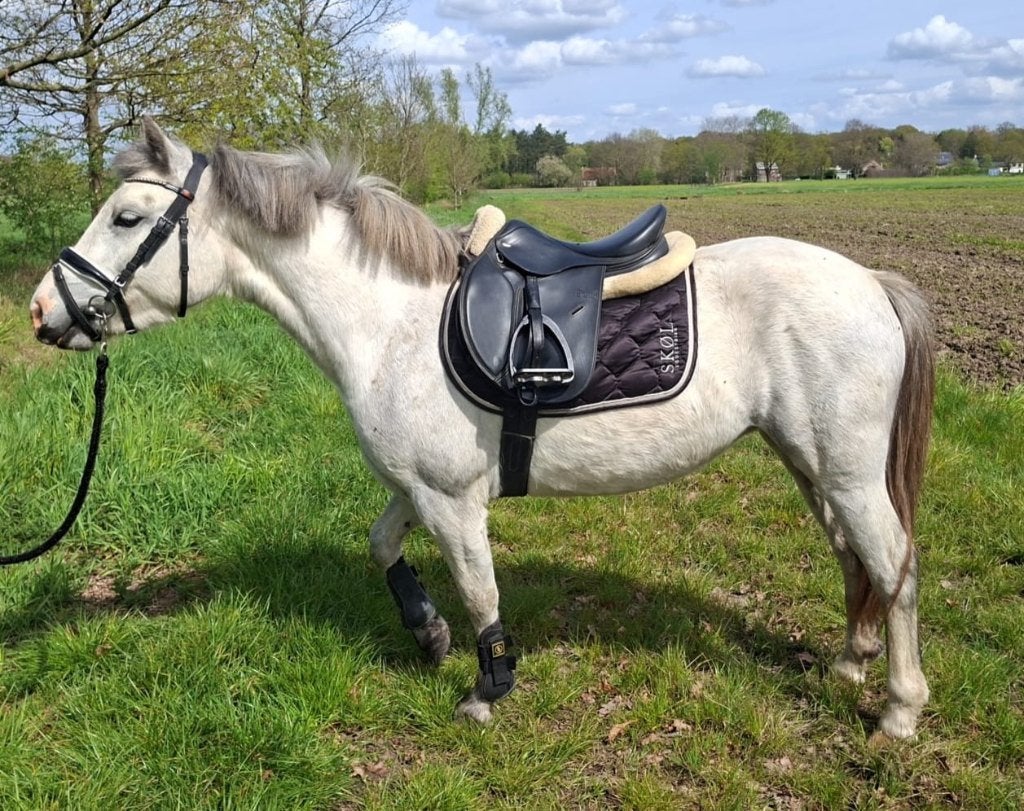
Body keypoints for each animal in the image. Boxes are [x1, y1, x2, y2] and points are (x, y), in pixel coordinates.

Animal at [29, 118, 934, 739]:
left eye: (126, 216)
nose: (41, 310)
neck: (389, 319)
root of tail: (872, 282)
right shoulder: (417, 486)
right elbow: (383, 545)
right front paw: (427, 634)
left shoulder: (453, 498)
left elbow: (481, 590)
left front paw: (486, 687)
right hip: (808, 463)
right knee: (853, 557)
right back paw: (851, 662)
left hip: (848, 471)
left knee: (894, 563)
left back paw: (899, 708)